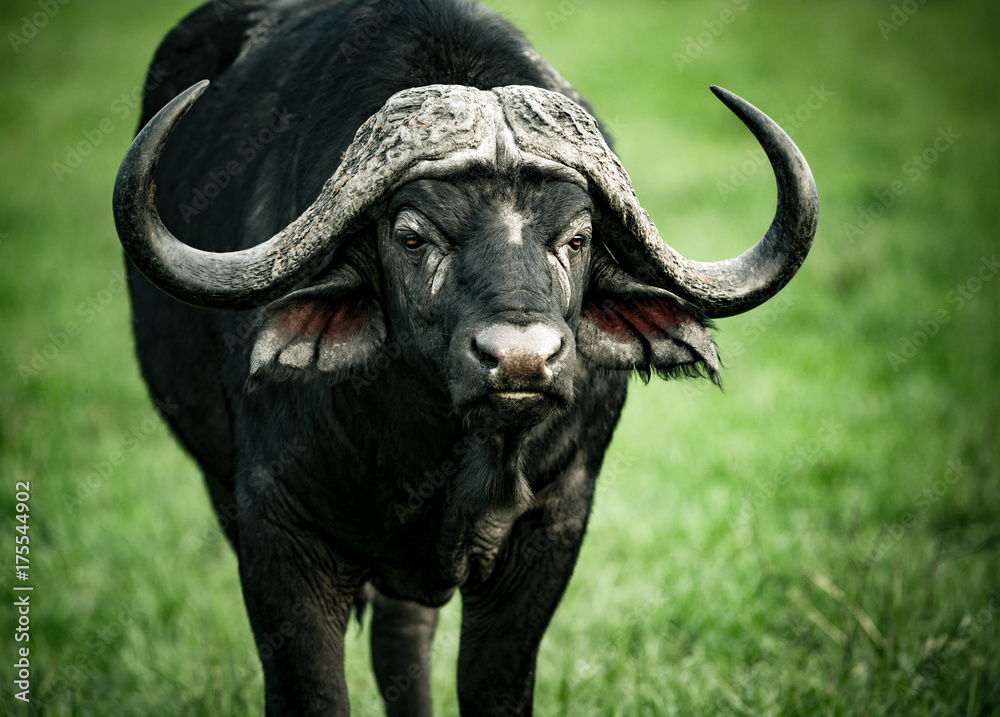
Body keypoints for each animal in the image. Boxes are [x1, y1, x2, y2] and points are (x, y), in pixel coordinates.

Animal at [112, 0, 817, 714]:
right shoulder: (275, 527)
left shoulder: (553, 528)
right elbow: (310, 691)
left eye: (578, 237)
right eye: (412, 236)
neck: (447, 454)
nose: (522, 361)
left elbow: (491, 685)